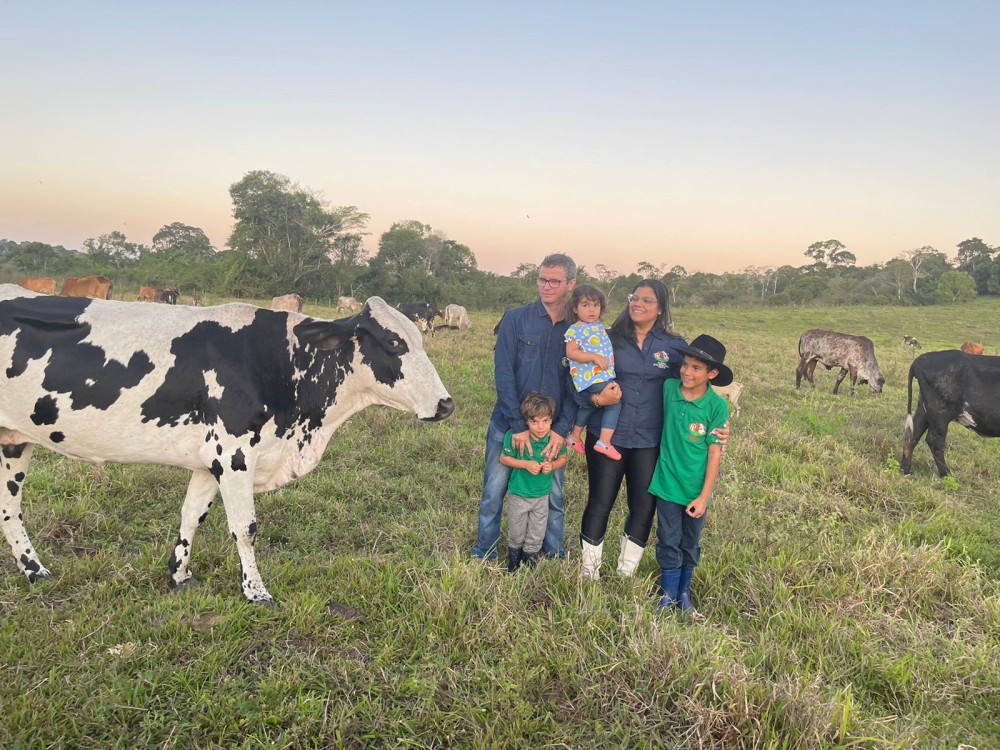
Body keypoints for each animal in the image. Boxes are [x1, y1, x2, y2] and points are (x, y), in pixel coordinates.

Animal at [0, 286, 454, 604]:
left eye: (420, 337)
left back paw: (34, 571)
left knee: (9, 509)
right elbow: (245, 528)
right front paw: (256, 592)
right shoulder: (235, 454)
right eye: (393, 342)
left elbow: (190, 517)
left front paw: (179, 576)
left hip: (13, 443)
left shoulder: (209, 461)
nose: (446, 404)